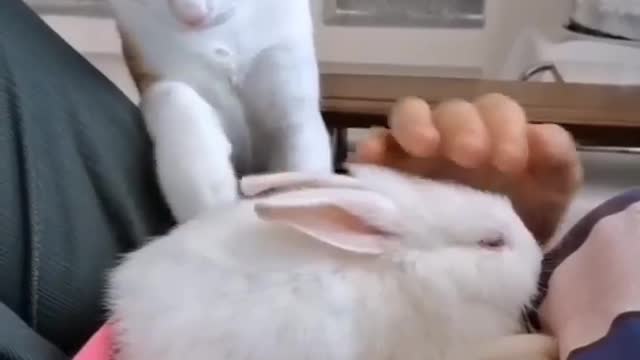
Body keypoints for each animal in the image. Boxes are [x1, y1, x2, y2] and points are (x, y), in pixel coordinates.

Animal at [107, 0, 332, 224]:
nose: (194, 16)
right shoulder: (154, 69)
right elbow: (173, 93)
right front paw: (206, 190)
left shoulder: (290, 84)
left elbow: (303, 163)